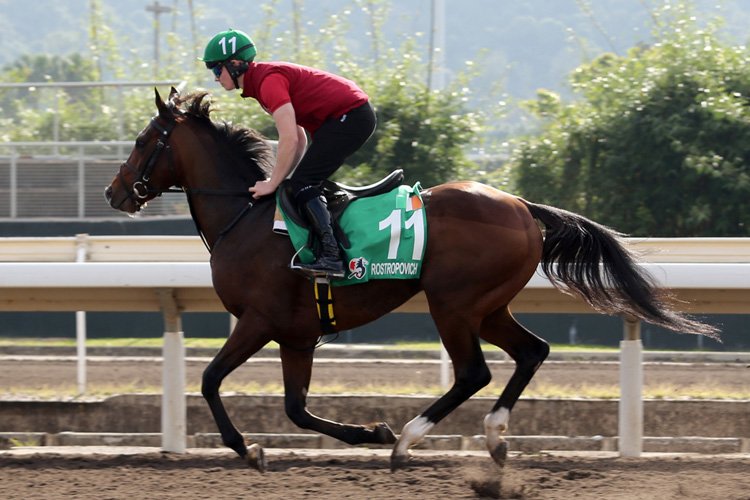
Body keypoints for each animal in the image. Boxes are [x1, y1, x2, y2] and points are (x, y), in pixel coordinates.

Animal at [104, 89, 716, 472]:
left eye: (142, 140)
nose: (114, 193)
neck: (247, 216)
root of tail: (523, 206)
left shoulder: (257, 321)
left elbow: (210, 380)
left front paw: (247, 449)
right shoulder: (297, 335)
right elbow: (296, 408)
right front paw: (365, 433)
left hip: (453, 303)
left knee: (474, 372)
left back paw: (409, 441)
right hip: (488, 306)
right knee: (532, 352)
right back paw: (490, 437)